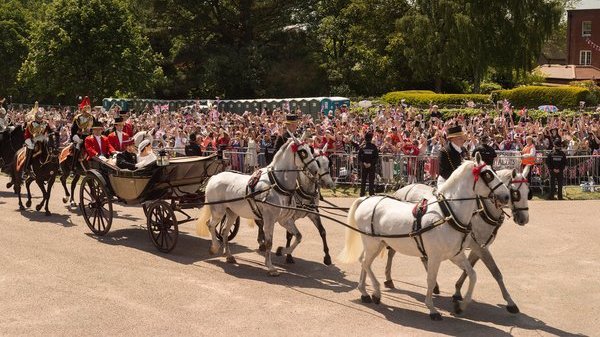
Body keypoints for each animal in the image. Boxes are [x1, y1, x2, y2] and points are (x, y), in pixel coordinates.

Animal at [196, 133, 318, 276]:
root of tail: (215, 177)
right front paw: (270, 267)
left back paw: (229, 255)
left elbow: (298, 236)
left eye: (310, 149)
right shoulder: (269, 219)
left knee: (225, 231)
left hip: (231, 213)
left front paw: (282, 251)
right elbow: (269, 243)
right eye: (303, 152)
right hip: (218, 211)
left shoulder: (284, 220)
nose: (315, 170)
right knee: (210, 225)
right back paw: (214, 248)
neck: (276, 184)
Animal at [340, 154, 508, 318]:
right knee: (365, 263)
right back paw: (376, 292)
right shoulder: (435, 256)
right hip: (373, 243)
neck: (448, 215)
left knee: (364, 262)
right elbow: (431, 280)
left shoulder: (456, 255)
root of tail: (366, 199)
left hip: (377, 244)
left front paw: (461, 305)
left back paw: (364, 292)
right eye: (488, 174)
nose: (506, 196)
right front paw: (432, 308)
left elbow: (472, 275)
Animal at [384, 167, 528, 312]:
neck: (481, 211)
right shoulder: (477, 246)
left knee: (422, 257)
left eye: (528, 192)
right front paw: (510, 302)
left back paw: (434, 286)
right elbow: (495, 272)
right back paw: (389, 279)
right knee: (391, 252)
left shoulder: (478, 247)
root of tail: (403, 189)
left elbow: (470, 269)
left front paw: (458, 292)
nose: (524, 219)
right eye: (515, 193)